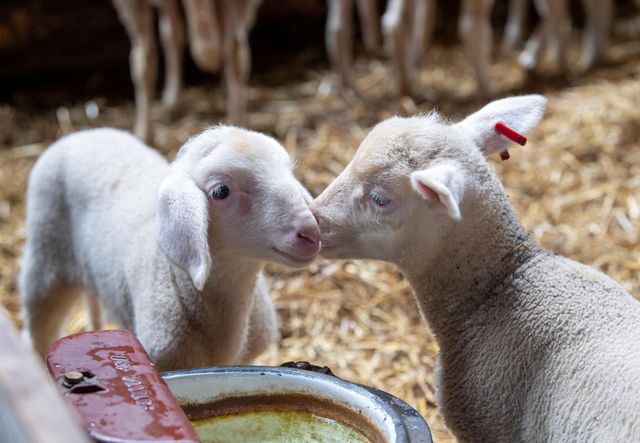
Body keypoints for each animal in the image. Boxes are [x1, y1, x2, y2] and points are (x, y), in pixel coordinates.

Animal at [19, 126, 320, 371]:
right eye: (221, 191)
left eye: (288, 172)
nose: (311, 232)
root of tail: (80, 134)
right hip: (46, 259)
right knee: (36, 331)